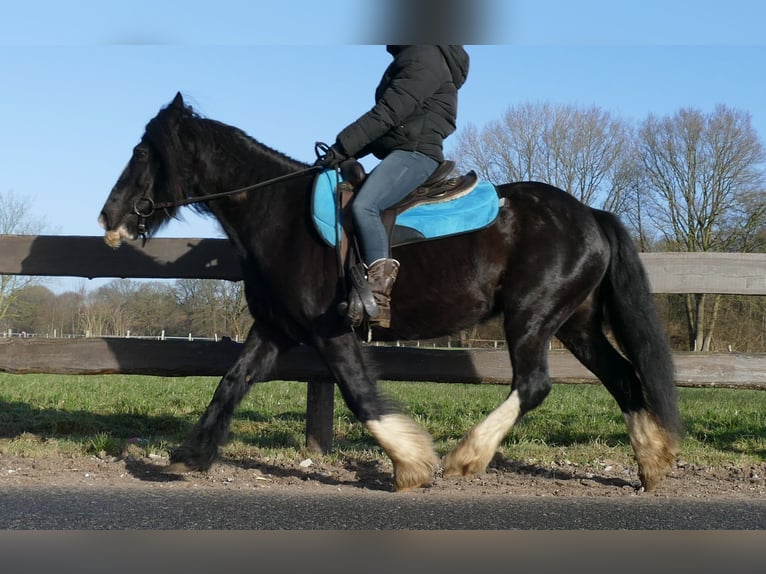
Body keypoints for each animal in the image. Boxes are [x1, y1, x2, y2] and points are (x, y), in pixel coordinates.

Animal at [99, 94, 680, 496]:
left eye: (143, 152)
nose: (109, 218)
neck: (279, 215)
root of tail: (591, 215)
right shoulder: (275, 328)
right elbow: (232, 382)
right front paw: (191, 454)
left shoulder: (330, 331)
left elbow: (359, 394)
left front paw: (411, 465)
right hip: (576, 323)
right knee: (623, 377)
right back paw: (652, 465)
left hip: (532, 318)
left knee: (534, 385)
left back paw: (467, 456)